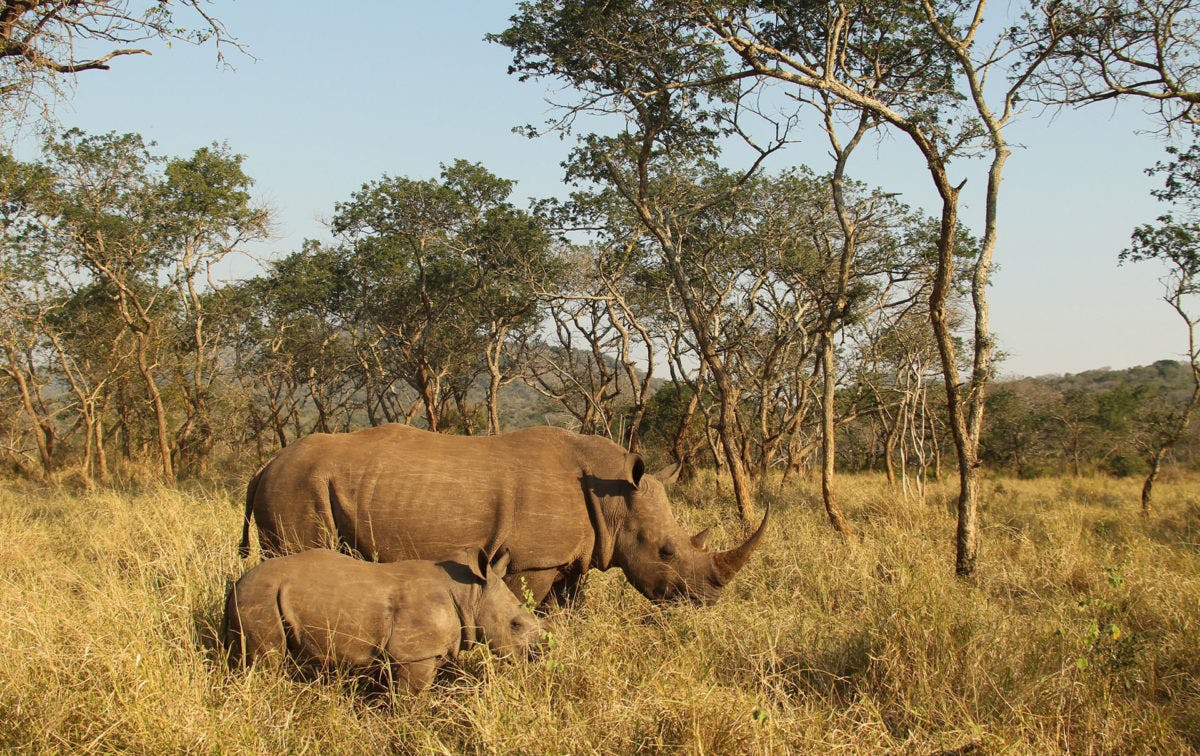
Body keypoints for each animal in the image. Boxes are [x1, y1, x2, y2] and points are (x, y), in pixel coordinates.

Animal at [220, 547, 544, 696]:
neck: (471, 594)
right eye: (515, 624)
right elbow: (412, 698)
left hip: (261, 596)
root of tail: (236, 584)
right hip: (260, 597)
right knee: (268, 659)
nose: (536, 656)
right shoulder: (414, 654)